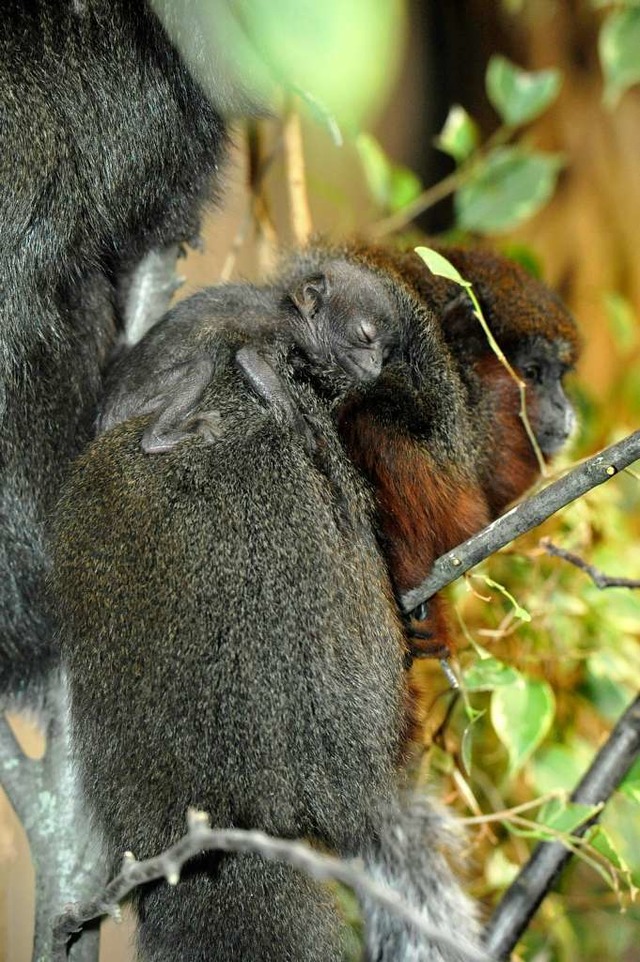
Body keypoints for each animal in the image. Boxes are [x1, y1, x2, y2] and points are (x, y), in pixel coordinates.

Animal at [100, 255, 400, 450]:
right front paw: (298, 424)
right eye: (365, 336)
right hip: (133, 406)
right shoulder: (280, 335)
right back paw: (157, 440)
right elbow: (248, 358)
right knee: (202, 366)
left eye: (385, 351)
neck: (292, 316)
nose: (376, 362)